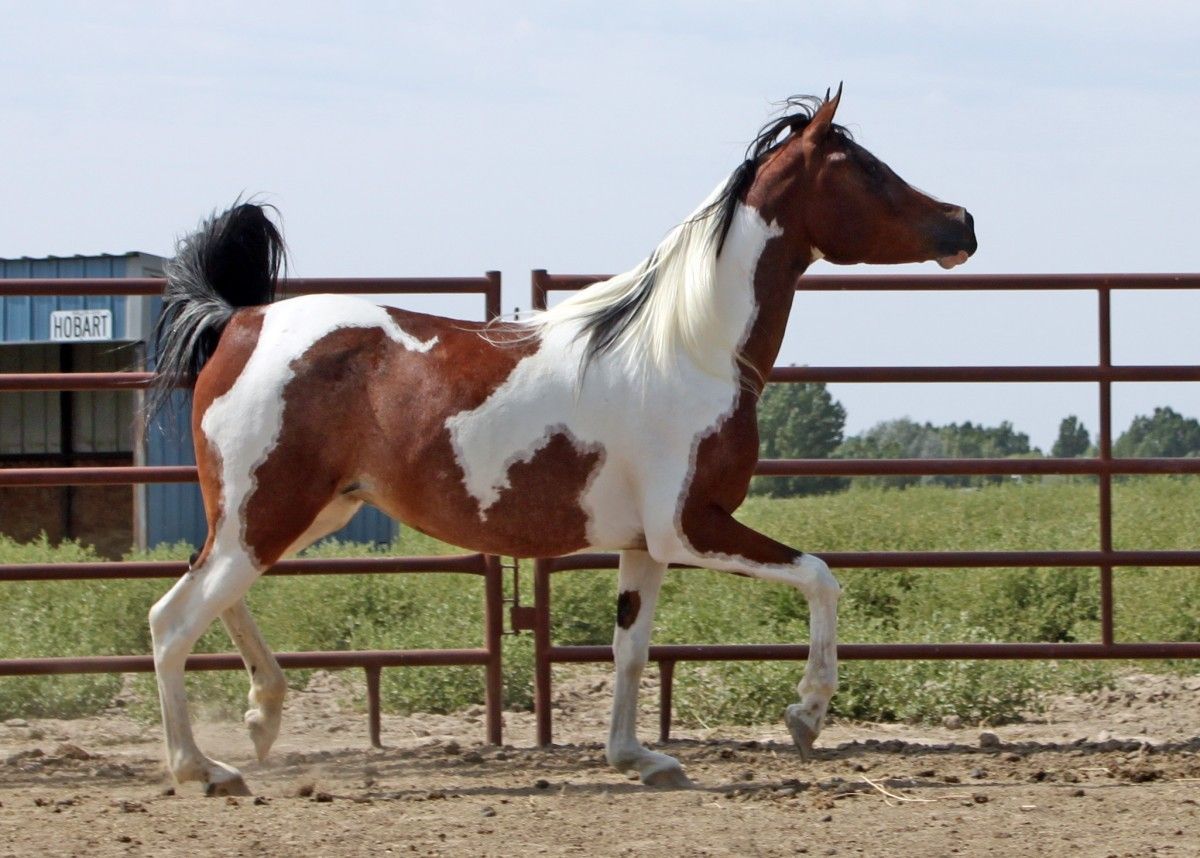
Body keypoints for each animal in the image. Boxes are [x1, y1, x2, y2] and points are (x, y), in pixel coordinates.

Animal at [147, 90, 974, 796]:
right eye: (866, 169)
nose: (962, 222)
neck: (689, 349)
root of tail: (243, 320)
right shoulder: (694, 526)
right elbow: (820, 577)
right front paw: (806, 715)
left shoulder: (647, 544)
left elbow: (630, 650)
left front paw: (639, 758)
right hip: (269, 514)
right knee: (173, 619)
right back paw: (204, 769)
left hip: (301, 513)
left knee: (212, 593)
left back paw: (261, 718)